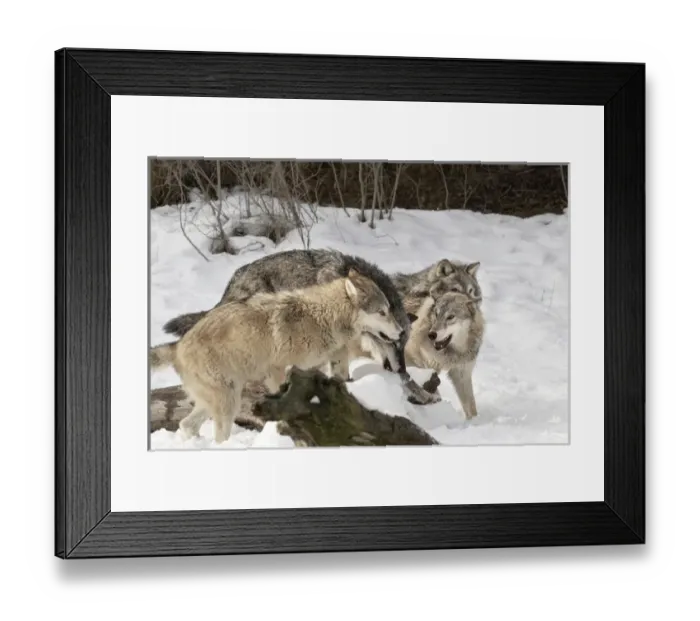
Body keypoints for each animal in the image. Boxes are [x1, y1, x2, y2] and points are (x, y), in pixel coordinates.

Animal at [150, 269, 404, 444]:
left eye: (389, 310)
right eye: (382, 312)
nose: (401, 331)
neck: (323, 318)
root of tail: (177, 345)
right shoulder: (278, 371)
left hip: (219, 399)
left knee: (186, 424)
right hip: (229, 402)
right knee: (217, 436)